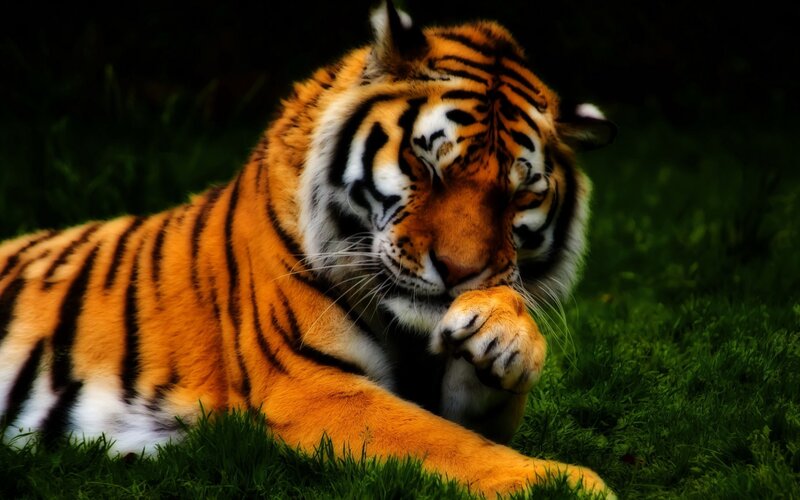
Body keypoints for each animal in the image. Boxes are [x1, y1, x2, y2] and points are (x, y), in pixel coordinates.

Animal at [0, 2, 616, 497]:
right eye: (425, 166)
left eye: (518, 194)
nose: (458, 273)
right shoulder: (308, 383)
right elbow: (445, 443)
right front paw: (566, 483)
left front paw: (504, 333)